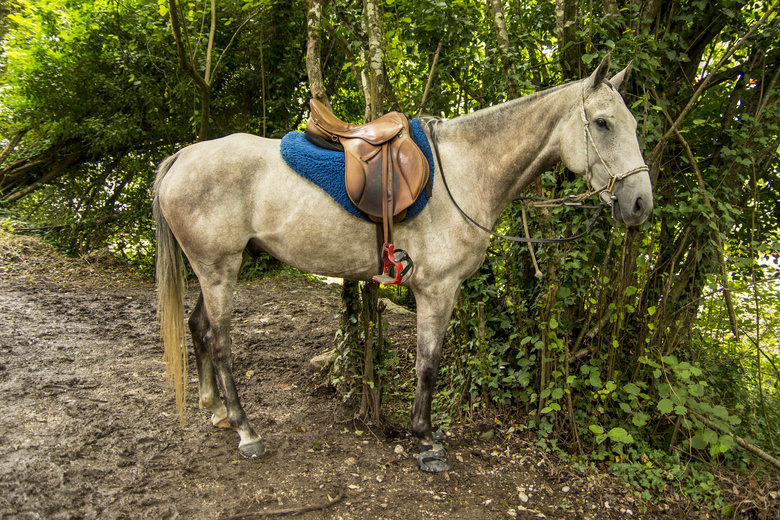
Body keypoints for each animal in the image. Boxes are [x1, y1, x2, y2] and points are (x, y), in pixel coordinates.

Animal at [151, 54, 652, 474]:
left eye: (632, 124)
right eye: (603, 123)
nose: (640, 203)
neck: (465, 170)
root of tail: (183, 156)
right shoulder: (437, 289)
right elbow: (428, 365)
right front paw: (426, 439)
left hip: (217, 269)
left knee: (198, 328)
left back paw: (216, 410)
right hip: (219, 270)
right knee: (220, 343)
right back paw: (245, 429)